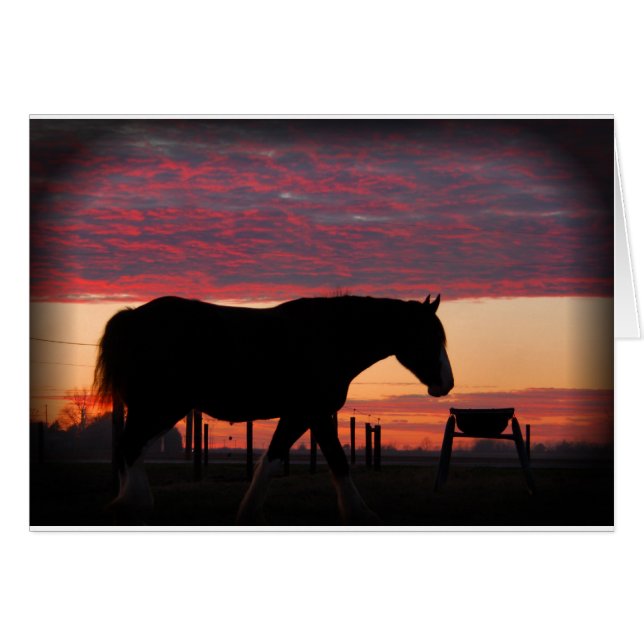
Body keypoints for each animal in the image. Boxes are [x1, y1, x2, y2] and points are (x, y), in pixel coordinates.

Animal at [94, 293, 454, 525]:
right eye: (429, 337)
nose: (447, 384)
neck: (329, 338)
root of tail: (132, 317)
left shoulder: (303, 416)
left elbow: (274, 458)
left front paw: (249, 511)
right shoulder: (313, 413)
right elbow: (336, 461)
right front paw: (361, 513)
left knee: (129, 448)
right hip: (161, 407)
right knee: (130, 446)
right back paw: (135, 504)